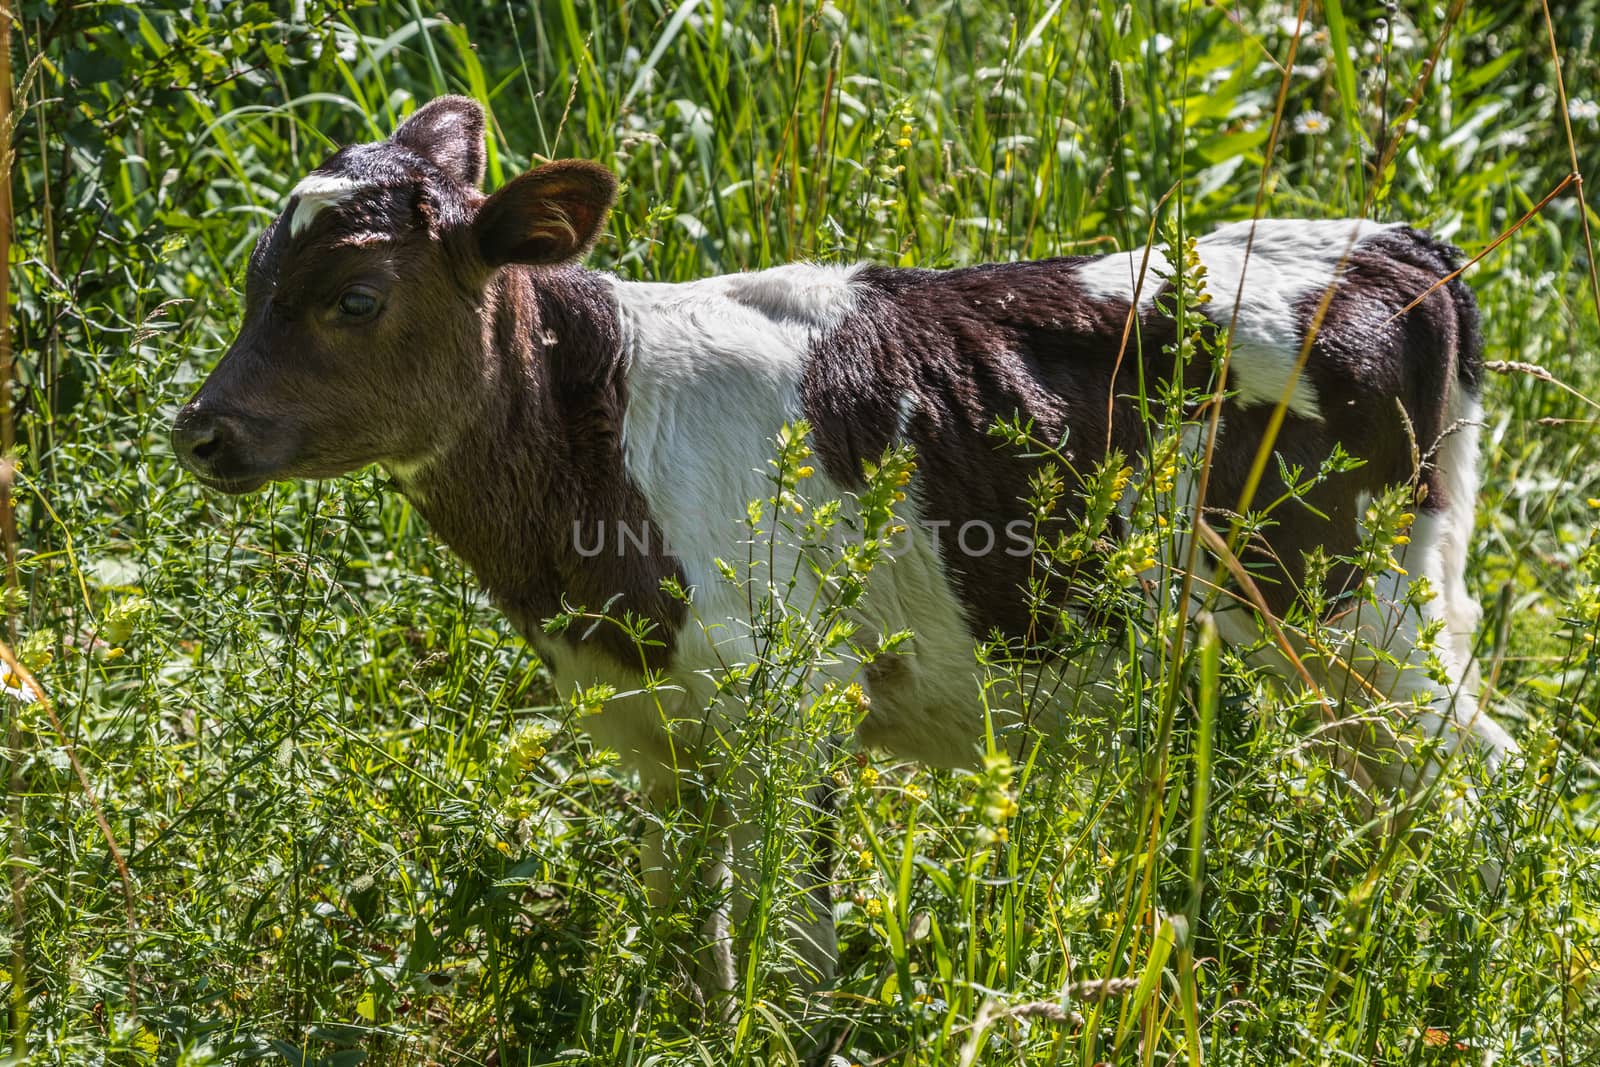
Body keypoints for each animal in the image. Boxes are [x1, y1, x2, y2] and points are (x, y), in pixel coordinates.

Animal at [172, 97, 1510, 1004]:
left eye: (354, 298)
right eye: (251, 281)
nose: (200, 428)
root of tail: (1398, 243)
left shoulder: (790, 696)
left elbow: (796, 949)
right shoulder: (647, 724)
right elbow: (684, 930)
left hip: (1354, 607)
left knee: (1488, 774)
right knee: (1398, 783)